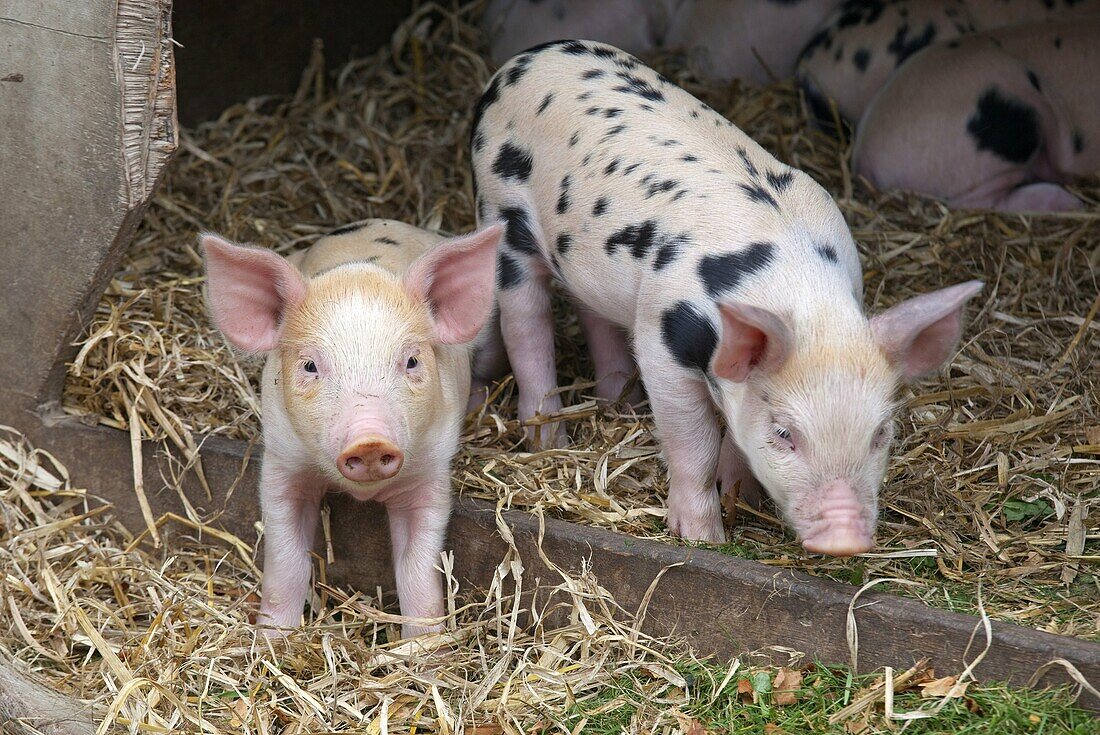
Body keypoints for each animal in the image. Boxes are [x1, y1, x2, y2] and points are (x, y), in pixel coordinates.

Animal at [201, 217, 499, 638]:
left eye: (411, 360)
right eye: (310, 366)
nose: (369, 441)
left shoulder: (430, 471)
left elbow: (417, 571)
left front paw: (425, 648)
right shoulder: (282, 462)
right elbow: (286, 562)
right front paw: (272, 639)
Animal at [468, 40, 985, 554]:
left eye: (880, 432)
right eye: (784, 432)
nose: (844, 538)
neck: (802, 296)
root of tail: (527, 58)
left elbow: (735, 438)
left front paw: (740, 495)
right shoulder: (663, 341)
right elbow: (694, 441)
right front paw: (702, 538)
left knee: (590, 311)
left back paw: (622, 406)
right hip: (501, 213)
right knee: (526, 321)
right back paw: (547, 439)